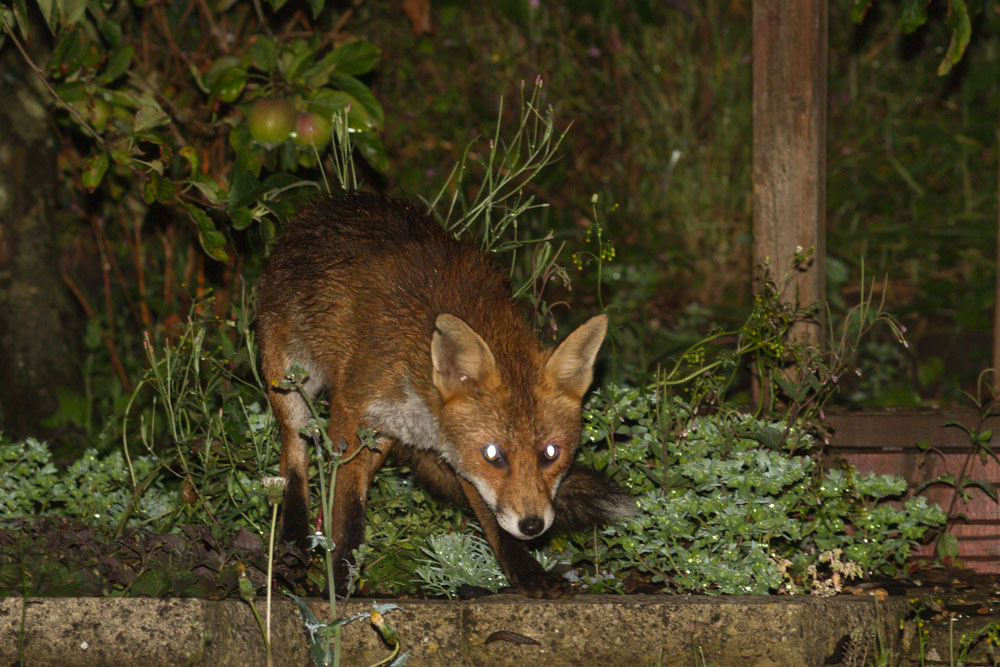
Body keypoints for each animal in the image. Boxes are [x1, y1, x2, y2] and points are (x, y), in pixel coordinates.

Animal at [256, 191, 632, 597]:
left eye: (551, 453)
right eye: (494, 454)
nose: (532, 525)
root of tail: (325, 204)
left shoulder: (459, 458)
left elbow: (493, 521)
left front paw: (528, 574)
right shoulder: (350, 412)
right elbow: (348, 512)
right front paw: (338, 583)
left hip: (380, 438)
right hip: (290, 379)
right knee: (294, 456)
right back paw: (293, 540)